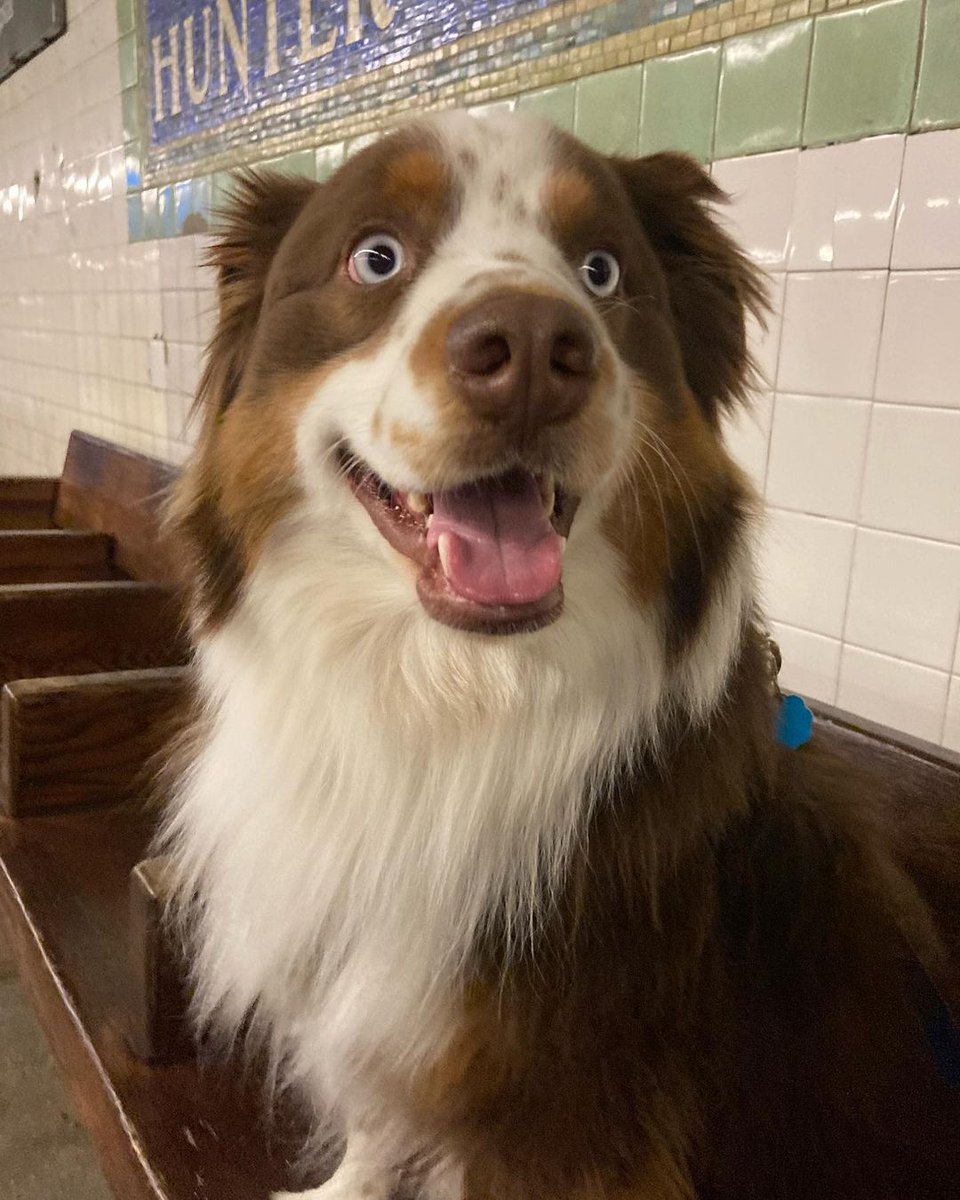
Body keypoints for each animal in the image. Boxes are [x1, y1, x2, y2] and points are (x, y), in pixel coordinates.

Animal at [165, 108, 960, 1195]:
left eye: (601, 271)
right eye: (376, 257)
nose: (536, 350)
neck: (448, 697)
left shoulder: (566, 1107)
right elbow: (374, 1117)